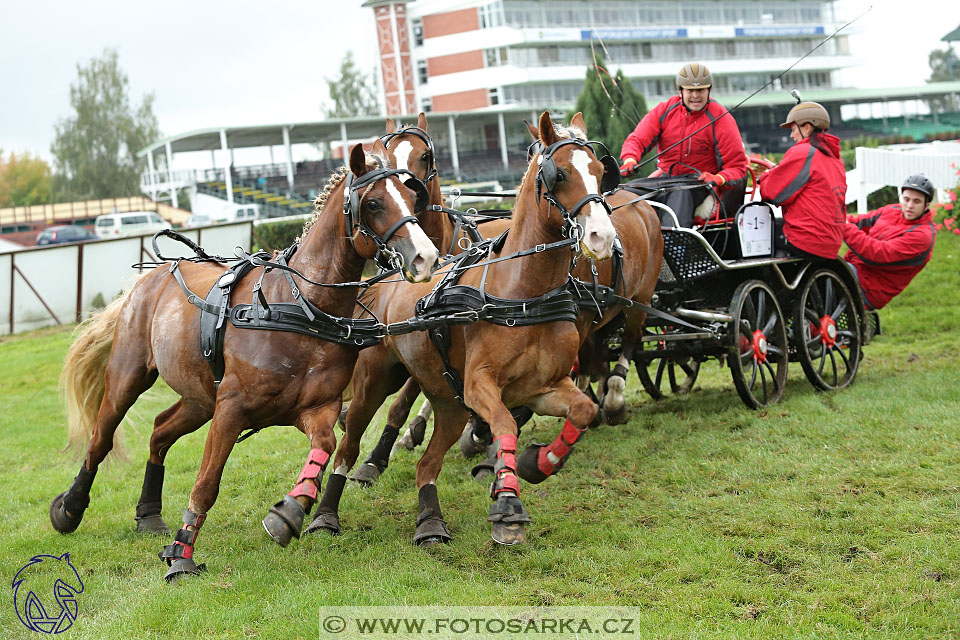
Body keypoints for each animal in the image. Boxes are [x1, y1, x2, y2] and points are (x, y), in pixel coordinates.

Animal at [51, 142, 438, 584]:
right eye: (373, 203)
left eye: (410, 195)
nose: (426, 257)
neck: (299, 307)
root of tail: (151, 276)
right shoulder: (231, 410)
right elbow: (206, 484)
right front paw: (182, 556)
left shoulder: (315, 408)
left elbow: (325, 445)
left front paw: (289, 513)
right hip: (128, 377)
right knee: (100, 438)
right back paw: (70, 508)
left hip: (199, 398)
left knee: (160, 432)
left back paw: (149, 513)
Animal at [308, 114, 624, 544]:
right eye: (559, 175)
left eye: (599, 172)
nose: (602, 236)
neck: (524, 294)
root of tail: (387, 279)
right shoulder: (480, 385)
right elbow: (504, 423)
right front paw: (508, 505)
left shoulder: (543, 387)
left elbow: (583, 410)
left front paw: (538, 462)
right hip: (375, 382)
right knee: (348, 447)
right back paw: (327, 511)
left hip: (449, 401)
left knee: (428, 464)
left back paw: (430, 520)